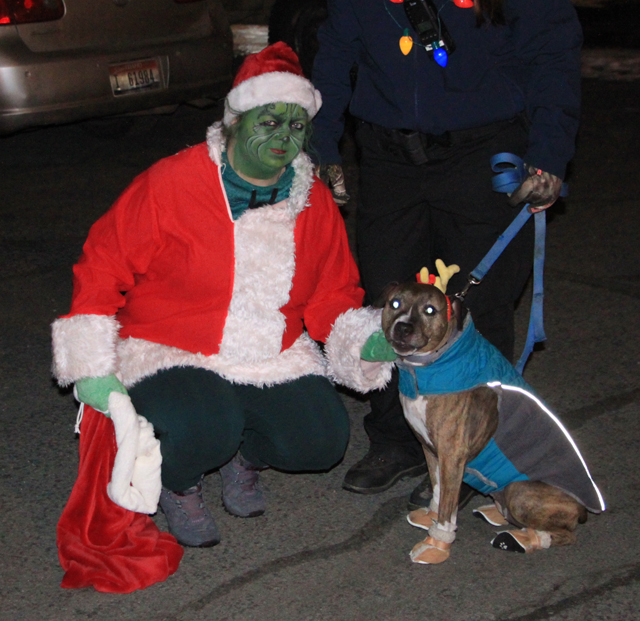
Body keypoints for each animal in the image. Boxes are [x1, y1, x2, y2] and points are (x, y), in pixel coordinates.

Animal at [379, 274, 604, 564]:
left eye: (430, 310)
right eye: (395, 303)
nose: (403, 327)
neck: (429, 367)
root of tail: (581, 507)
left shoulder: (452, 455)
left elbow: (448, 508)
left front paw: (436, 544)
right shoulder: (430, 449)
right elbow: (439, 488)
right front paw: (431, 515)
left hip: (521, 492)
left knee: (564, 534)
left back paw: (523, 539)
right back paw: (497, 512)